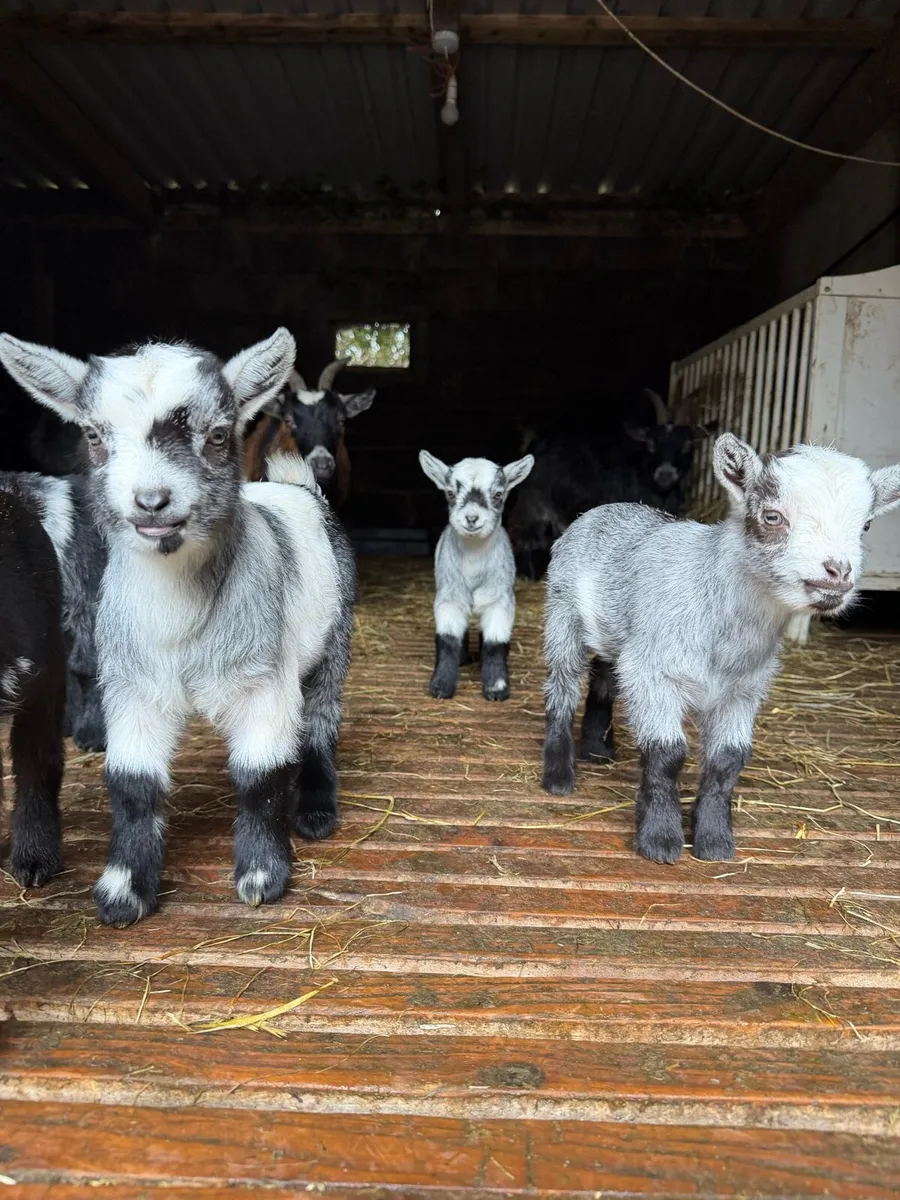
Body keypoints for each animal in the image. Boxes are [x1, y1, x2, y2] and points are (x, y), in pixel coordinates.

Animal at [419, 450, 534, 701]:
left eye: (498, 494)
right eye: (450, 493)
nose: (472, 518)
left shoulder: (500, 601)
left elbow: (496, 642)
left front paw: (497, 688)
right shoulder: (448, 599)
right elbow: (447, 640)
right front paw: (441, 686)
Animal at [541, 435, 900, 864]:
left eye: (865, 525)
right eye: (772, 517)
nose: (838, 573)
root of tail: (604, 509)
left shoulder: (744, 689)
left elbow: (728, 760)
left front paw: (714, 841)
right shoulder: (655, 674)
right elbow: (666, 754)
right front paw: (660, 839)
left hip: (619, 632)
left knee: (605, 672)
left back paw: (596, 748)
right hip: (562, 612)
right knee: (562, 687)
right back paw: (559, 774)